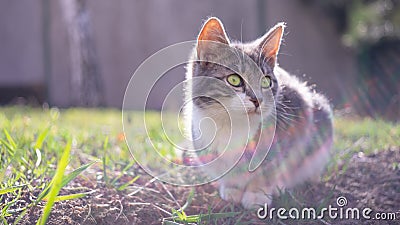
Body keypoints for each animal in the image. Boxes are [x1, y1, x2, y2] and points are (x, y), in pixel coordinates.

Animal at [186, 18, 332, 209]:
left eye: (266, 81)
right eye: (234, 79)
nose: (257, 99)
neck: (234, 124)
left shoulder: (299, 114)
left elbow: (271, 167)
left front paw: (257, 193)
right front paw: (232, 188)